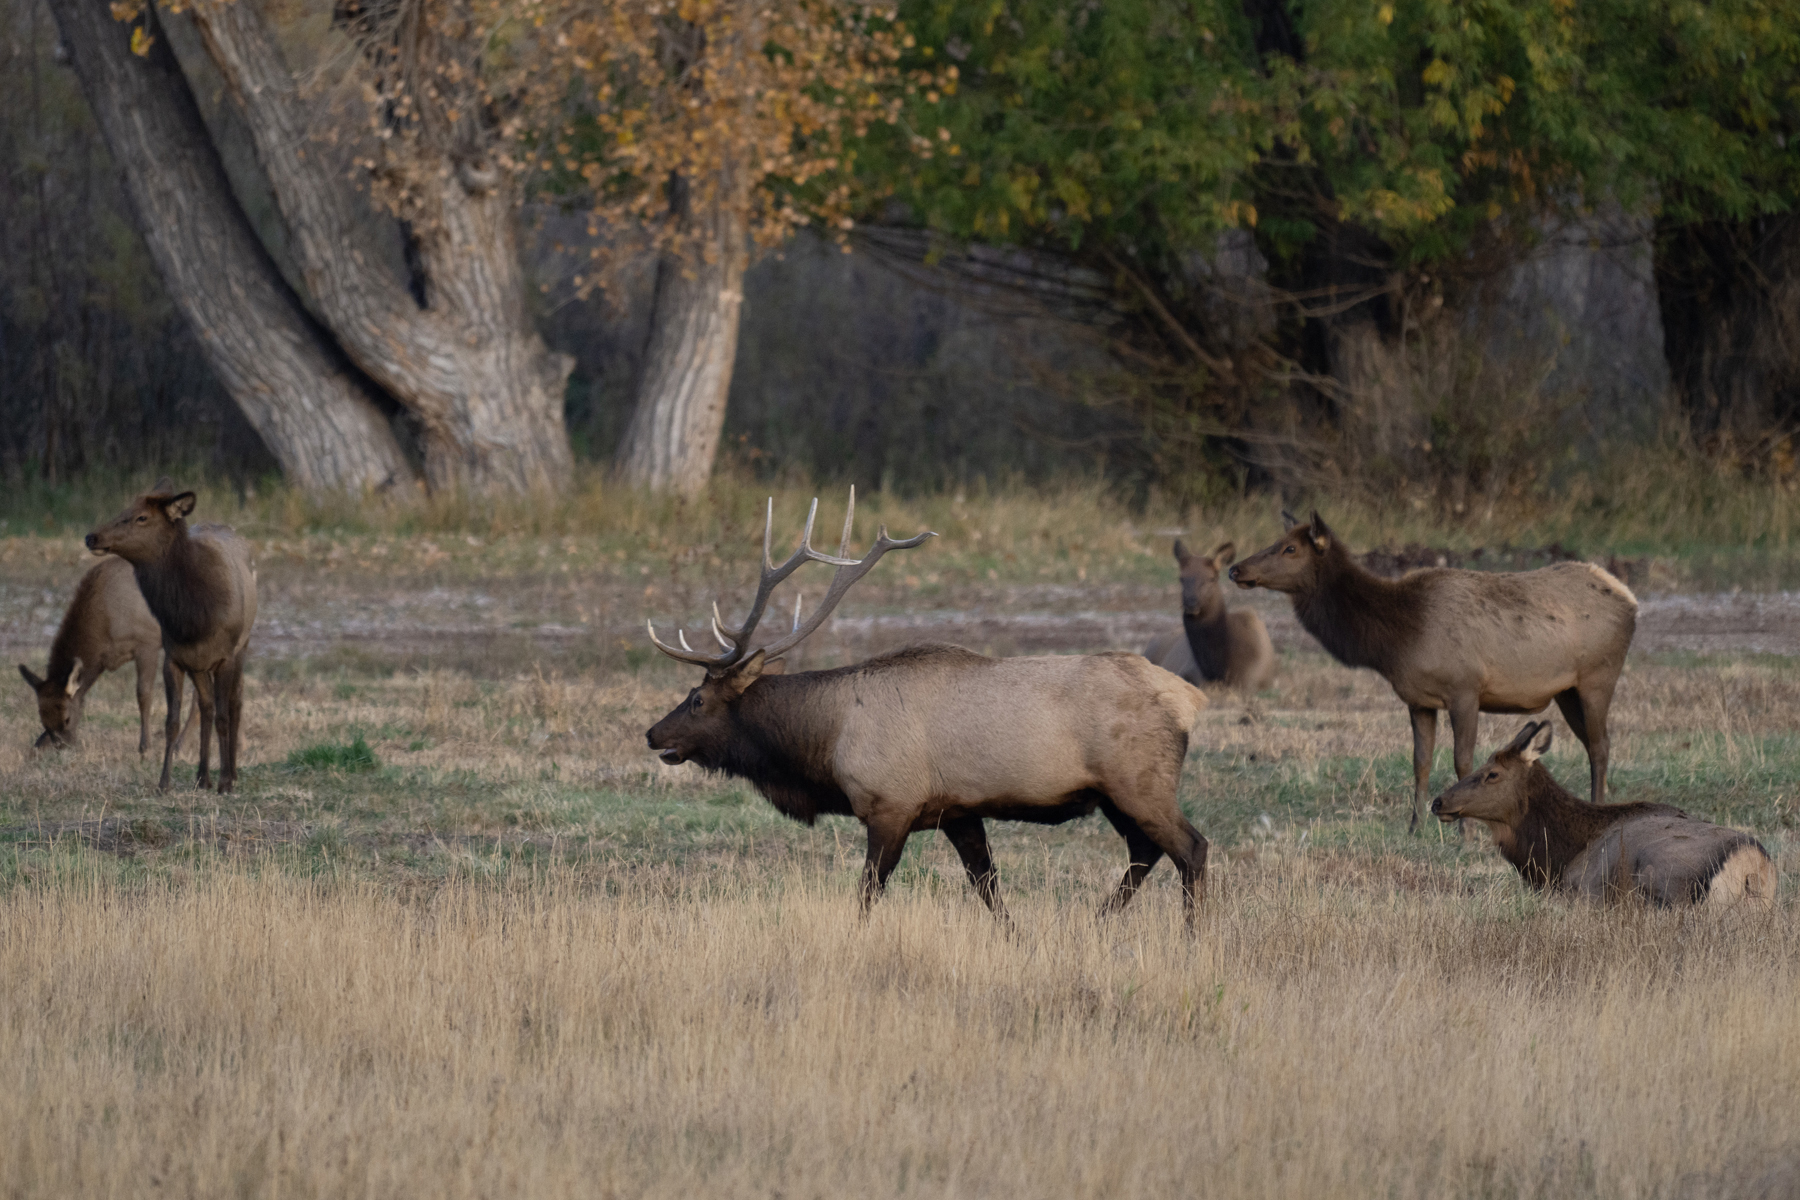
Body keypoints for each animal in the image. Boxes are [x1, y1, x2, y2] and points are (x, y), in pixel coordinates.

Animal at [85, 478, 257, 798]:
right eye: (124, 509)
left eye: (142, 517)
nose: (92, 536)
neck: (194, 619)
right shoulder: (175, 658)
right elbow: (171, 722)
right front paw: (164, 781)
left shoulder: (225, 656)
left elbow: (225, 717)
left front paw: (226, 782)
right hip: (199, 667)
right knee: (206, 706)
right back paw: (202, 776)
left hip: (244, 645)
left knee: (234, 704)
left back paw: (232, 773)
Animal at [640, 489, 1216, 928]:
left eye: (697, 699)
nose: (651, 733)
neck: (826, 745)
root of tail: (1192, 700)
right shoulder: (957, 811)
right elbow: (988, 886)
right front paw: (1017, 939)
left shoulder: (889, 804)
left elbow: (868, 892)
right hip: (1114, 795)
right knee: (1145, 851)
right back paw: (1097, 923)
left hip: (1139, 781)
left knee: (1191, 847)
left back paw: (1192, 936)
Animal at [1231, 510, 1641, 834]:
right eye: (1277, 540)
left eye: (1290, 549)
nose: (1236, 568)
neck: (1399, 638)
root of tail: (1631, 599)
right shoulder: (1418, 699)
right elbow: (1420, 762)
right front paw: (1415, 827)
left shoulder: (1465, 689)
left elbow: (1463, 761)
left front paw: (1465, 832)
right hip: (1567, 691)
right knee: (1591, 743)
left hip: (1599, 677)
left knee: (1601, 745)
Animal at [1425, 723, 1778, 910]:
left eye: (1492, 774)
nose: (1438, 802)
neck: (1556, 858)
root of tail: (1751, 867)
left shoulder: (1581, 890)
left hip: (1661, 874)